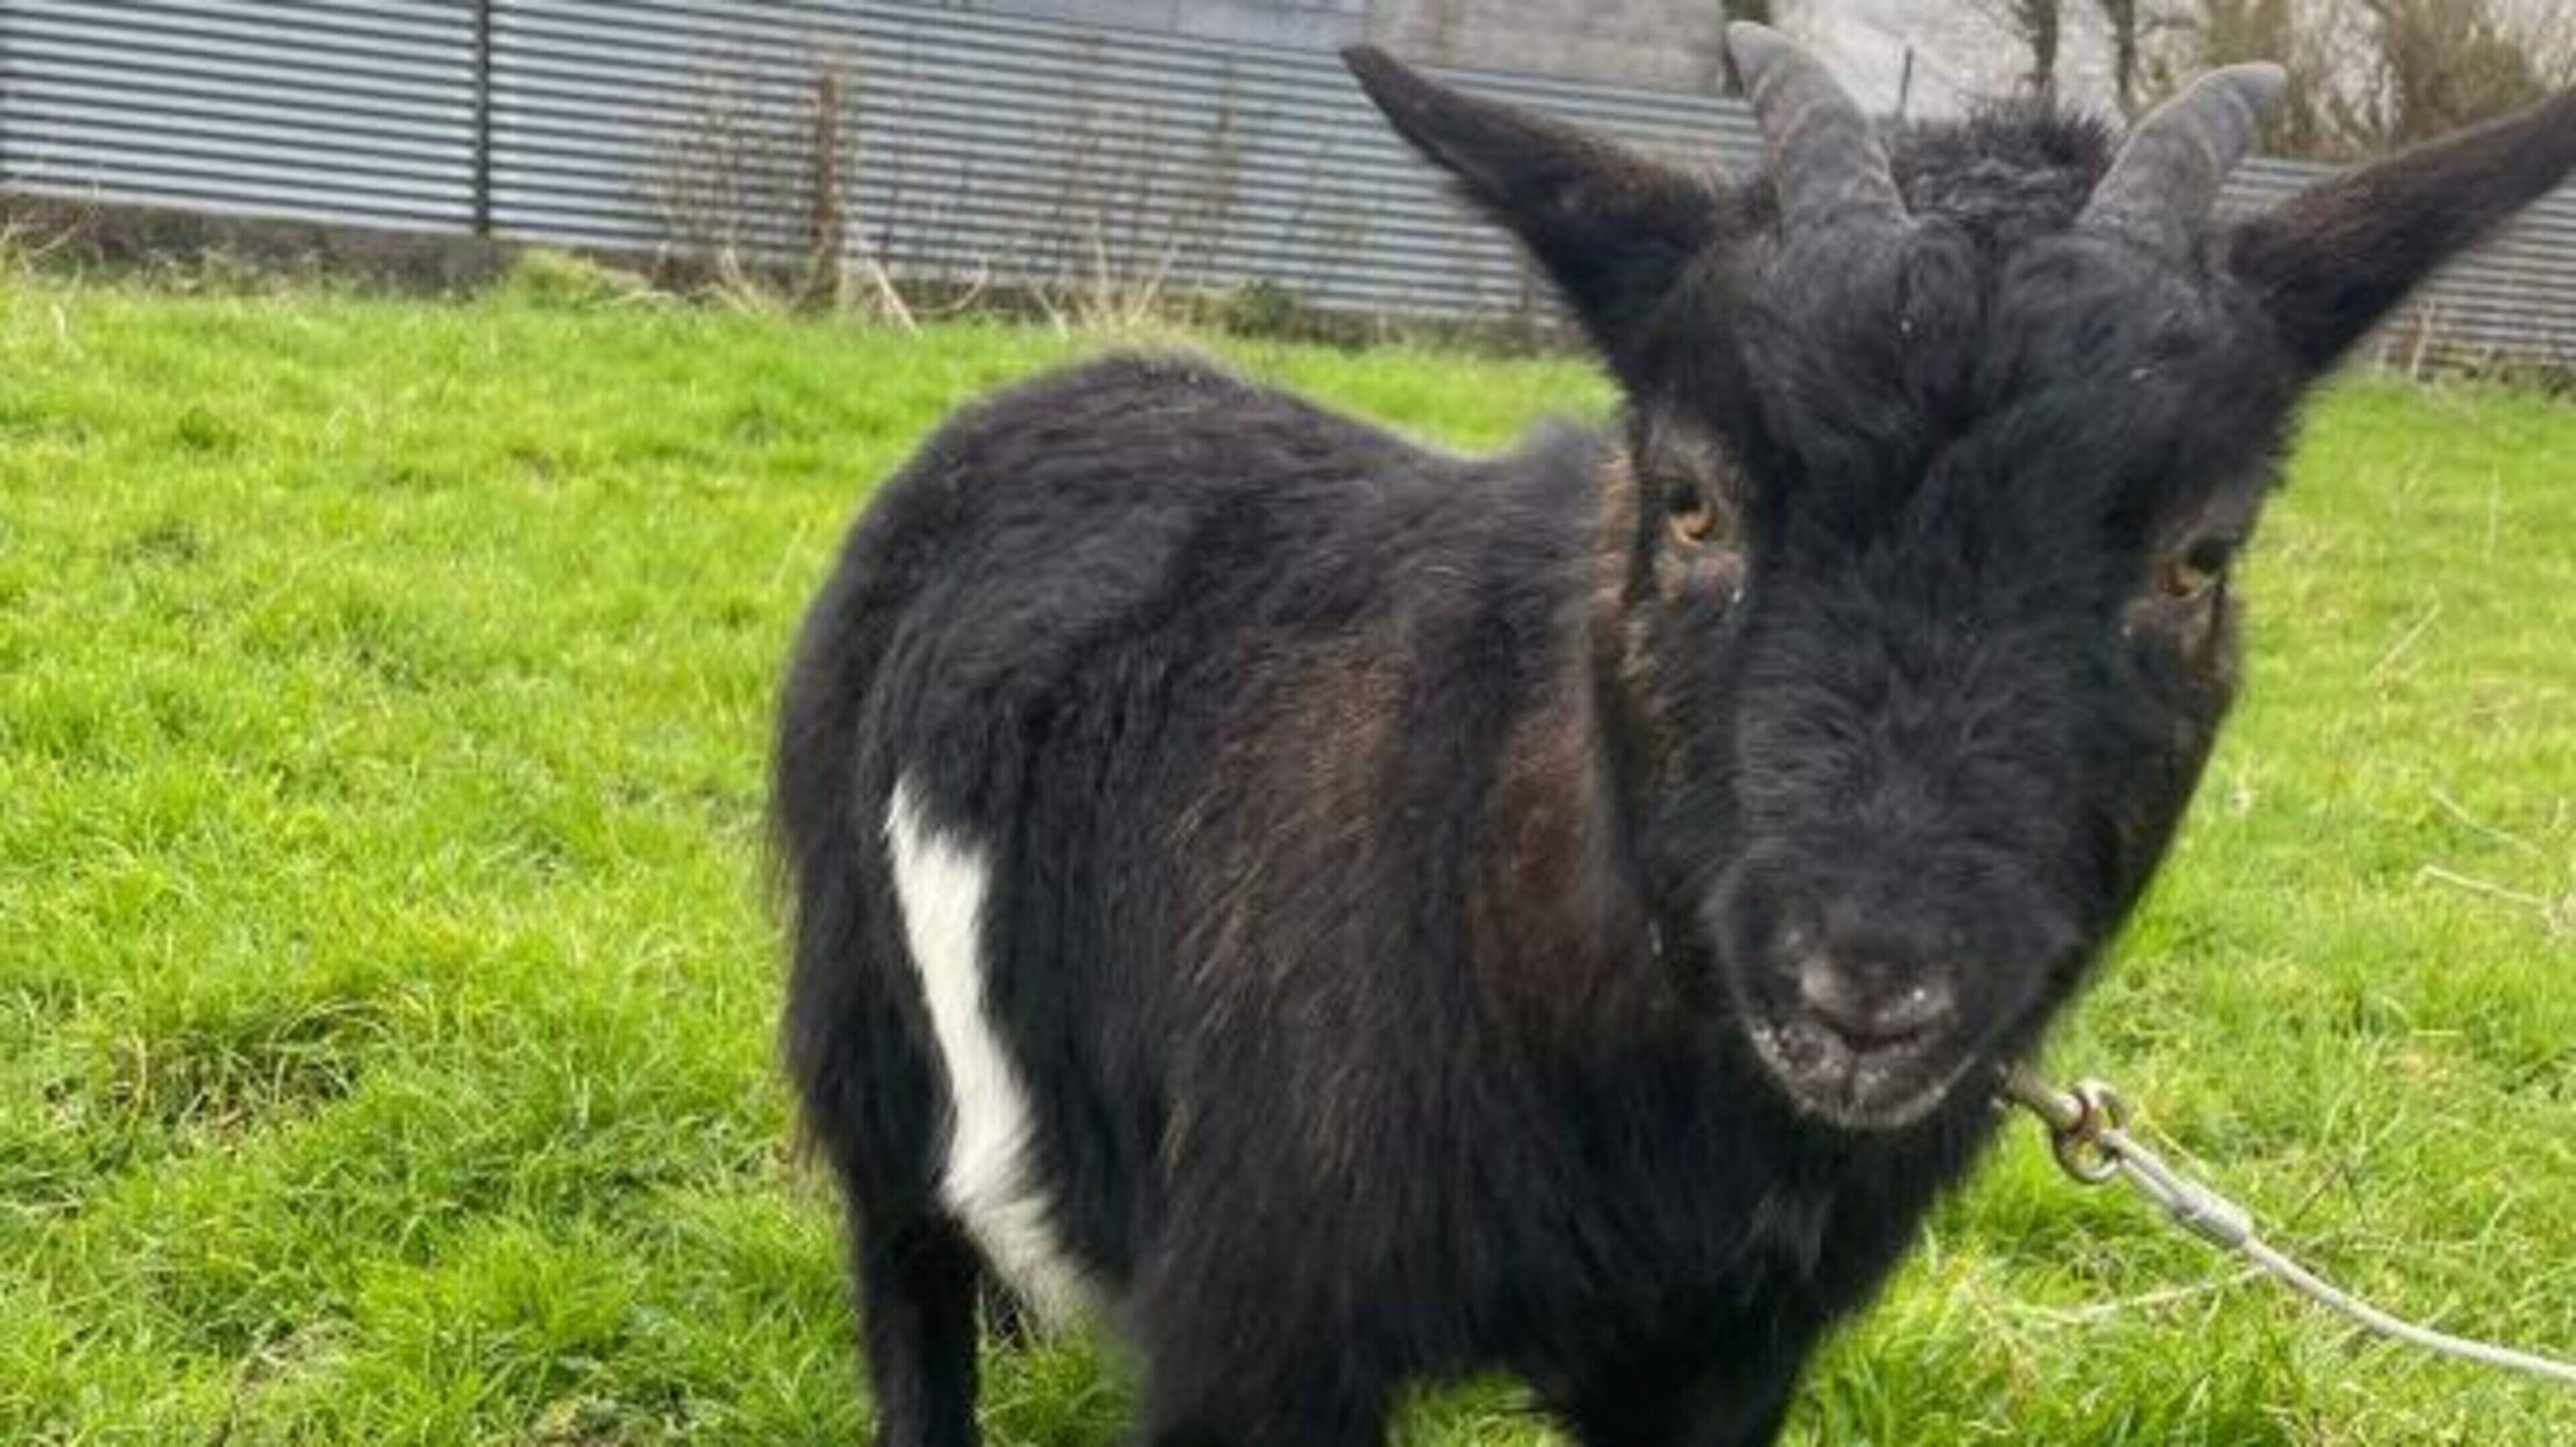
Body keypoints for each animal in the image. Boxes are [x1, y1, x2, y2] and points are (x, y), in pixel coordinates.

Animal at [773, 25, 2576, 1447]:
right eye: (1693, 497)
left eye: (2198, 556)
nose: (1869, 981)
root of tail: (1072, 379)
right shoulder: (1260, 1330)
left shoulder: (1720, 1361)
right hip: (867, 1019)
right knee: (907, 1274)